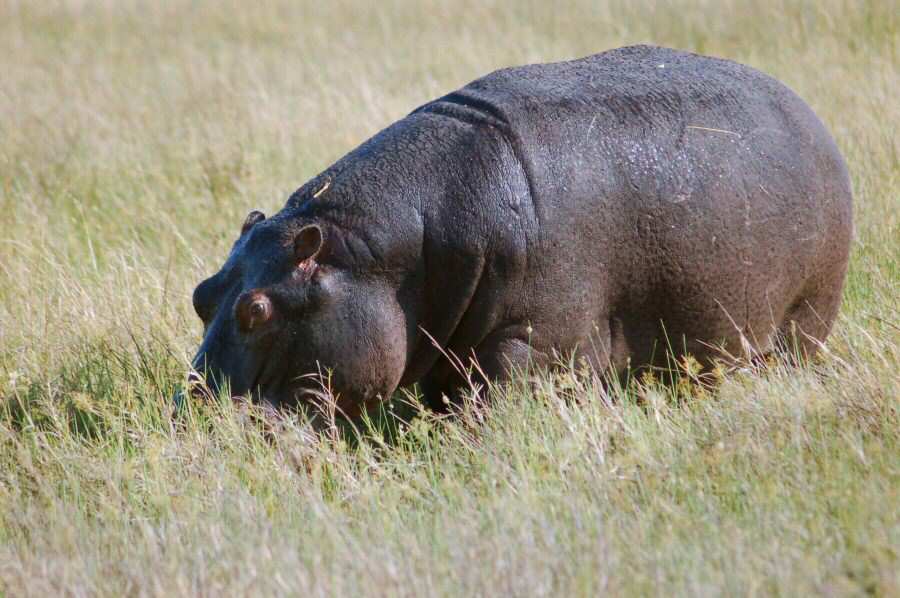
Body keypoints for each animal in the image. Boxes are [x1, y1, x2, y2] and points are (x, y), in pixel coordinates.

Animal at [185, 45, 852, 415]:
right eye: (201, 295)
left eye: (256, 310)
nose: (191, 414)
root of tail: (805, 109)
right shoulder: (449, 352)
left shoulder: (531, 342)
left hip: (804, 317)